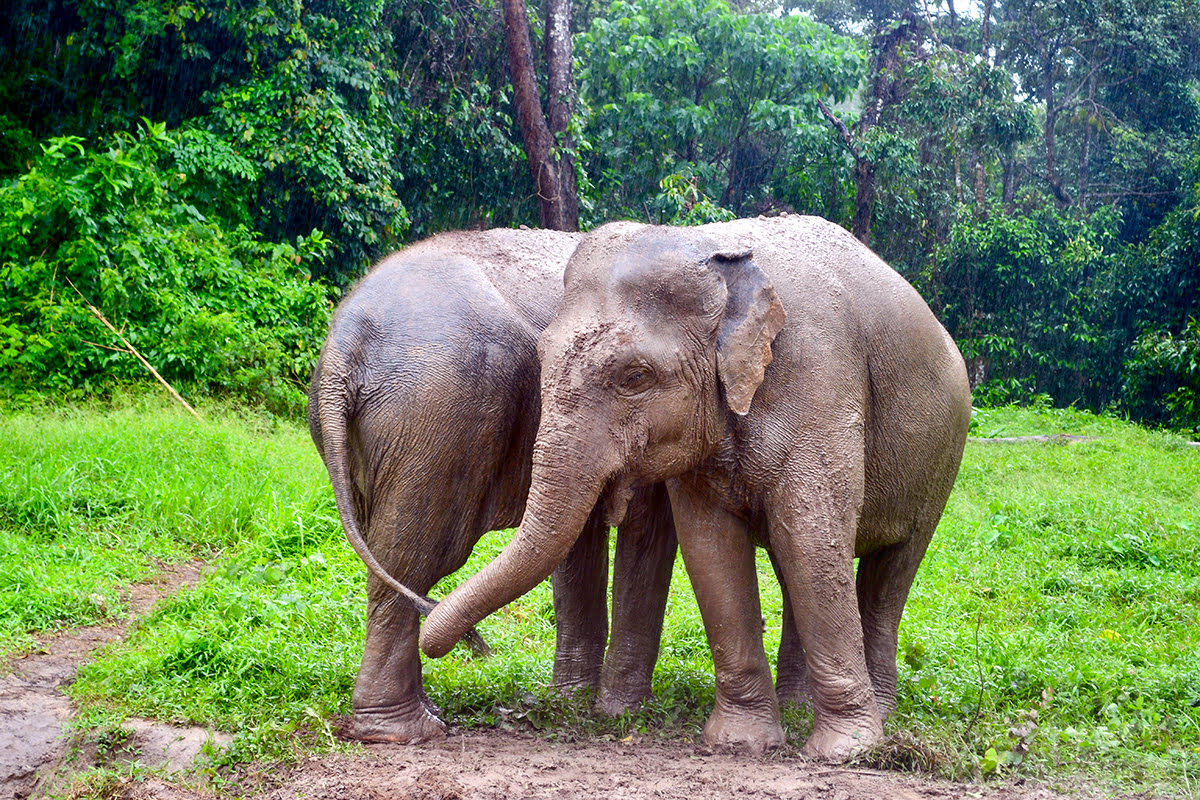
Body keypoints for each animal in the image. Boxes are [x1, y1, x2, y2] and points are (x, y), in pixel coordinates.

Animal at [307, 226, 686, 743]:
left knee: (391, 559)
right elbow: (647, 529)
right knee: (418, 557)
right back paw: (407, 730)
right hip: (439, 415)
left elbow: (580, 539)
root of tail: (345, 340)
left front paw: (572, 704)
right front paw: (619, 714)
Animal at [417, 215, 969, 762]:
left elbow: (814, 536)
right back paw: (797, 706)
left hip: (943, 455)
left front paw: (844, 750)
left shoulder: (822, 380)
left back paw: (879, 711)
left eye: (634, 376)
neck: (712, 245)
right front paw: (741, 743)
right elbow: (711, 548)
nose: (433, 638)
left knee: (889, 572)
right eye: (541, 358)